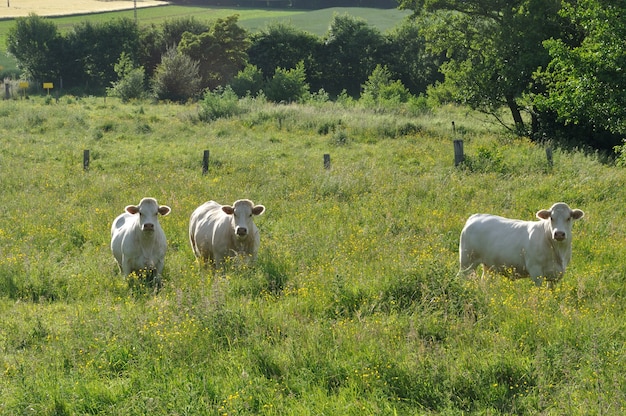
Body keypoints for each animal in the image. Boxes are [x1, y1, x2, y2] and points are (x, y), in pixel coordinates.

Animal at [456, 203, 584, 288]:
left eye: (568, 218)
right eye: (551, 218)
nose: (559, 234)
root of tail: (475, 216)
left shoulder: (557, 274)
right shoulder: (536, 271)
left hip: (488, 266)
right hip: (467, 261)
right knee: (461, 276)